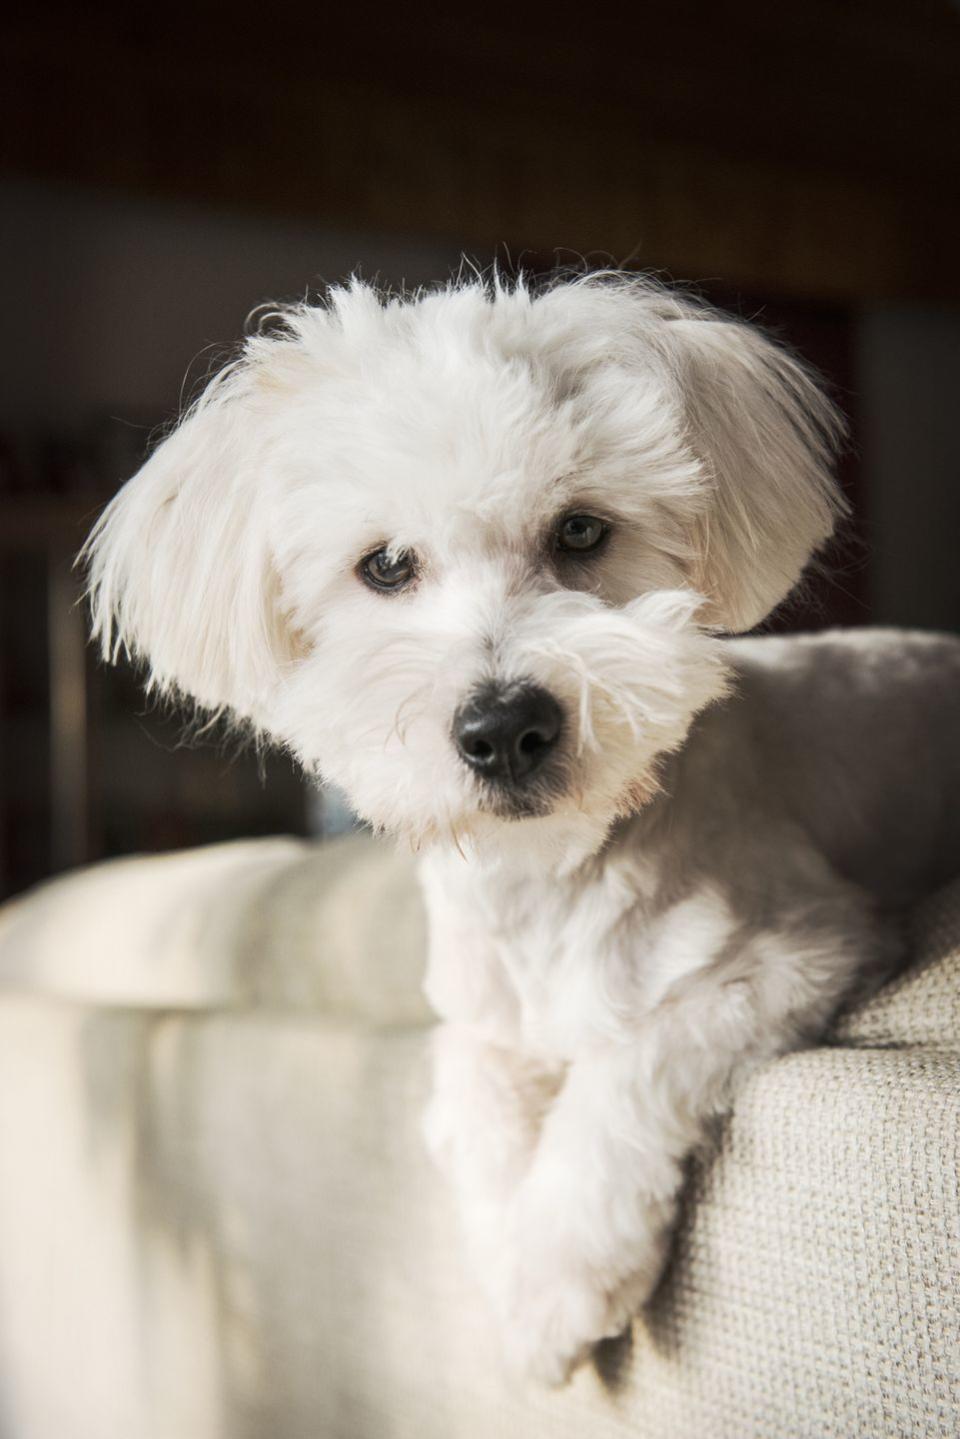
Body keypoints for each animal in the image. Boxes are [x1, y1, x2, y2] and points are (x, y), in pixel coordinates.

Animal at [82, 270, 960, 1381]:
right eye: (384, 565)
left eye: (580, 532)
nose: (505, 729)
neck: (544, 879)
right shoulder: (475, 1019)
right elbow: (477, 1105)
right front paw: (508, 1245)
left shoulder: (790, 953)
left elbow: (623, 1069)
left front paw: (555, 1271)